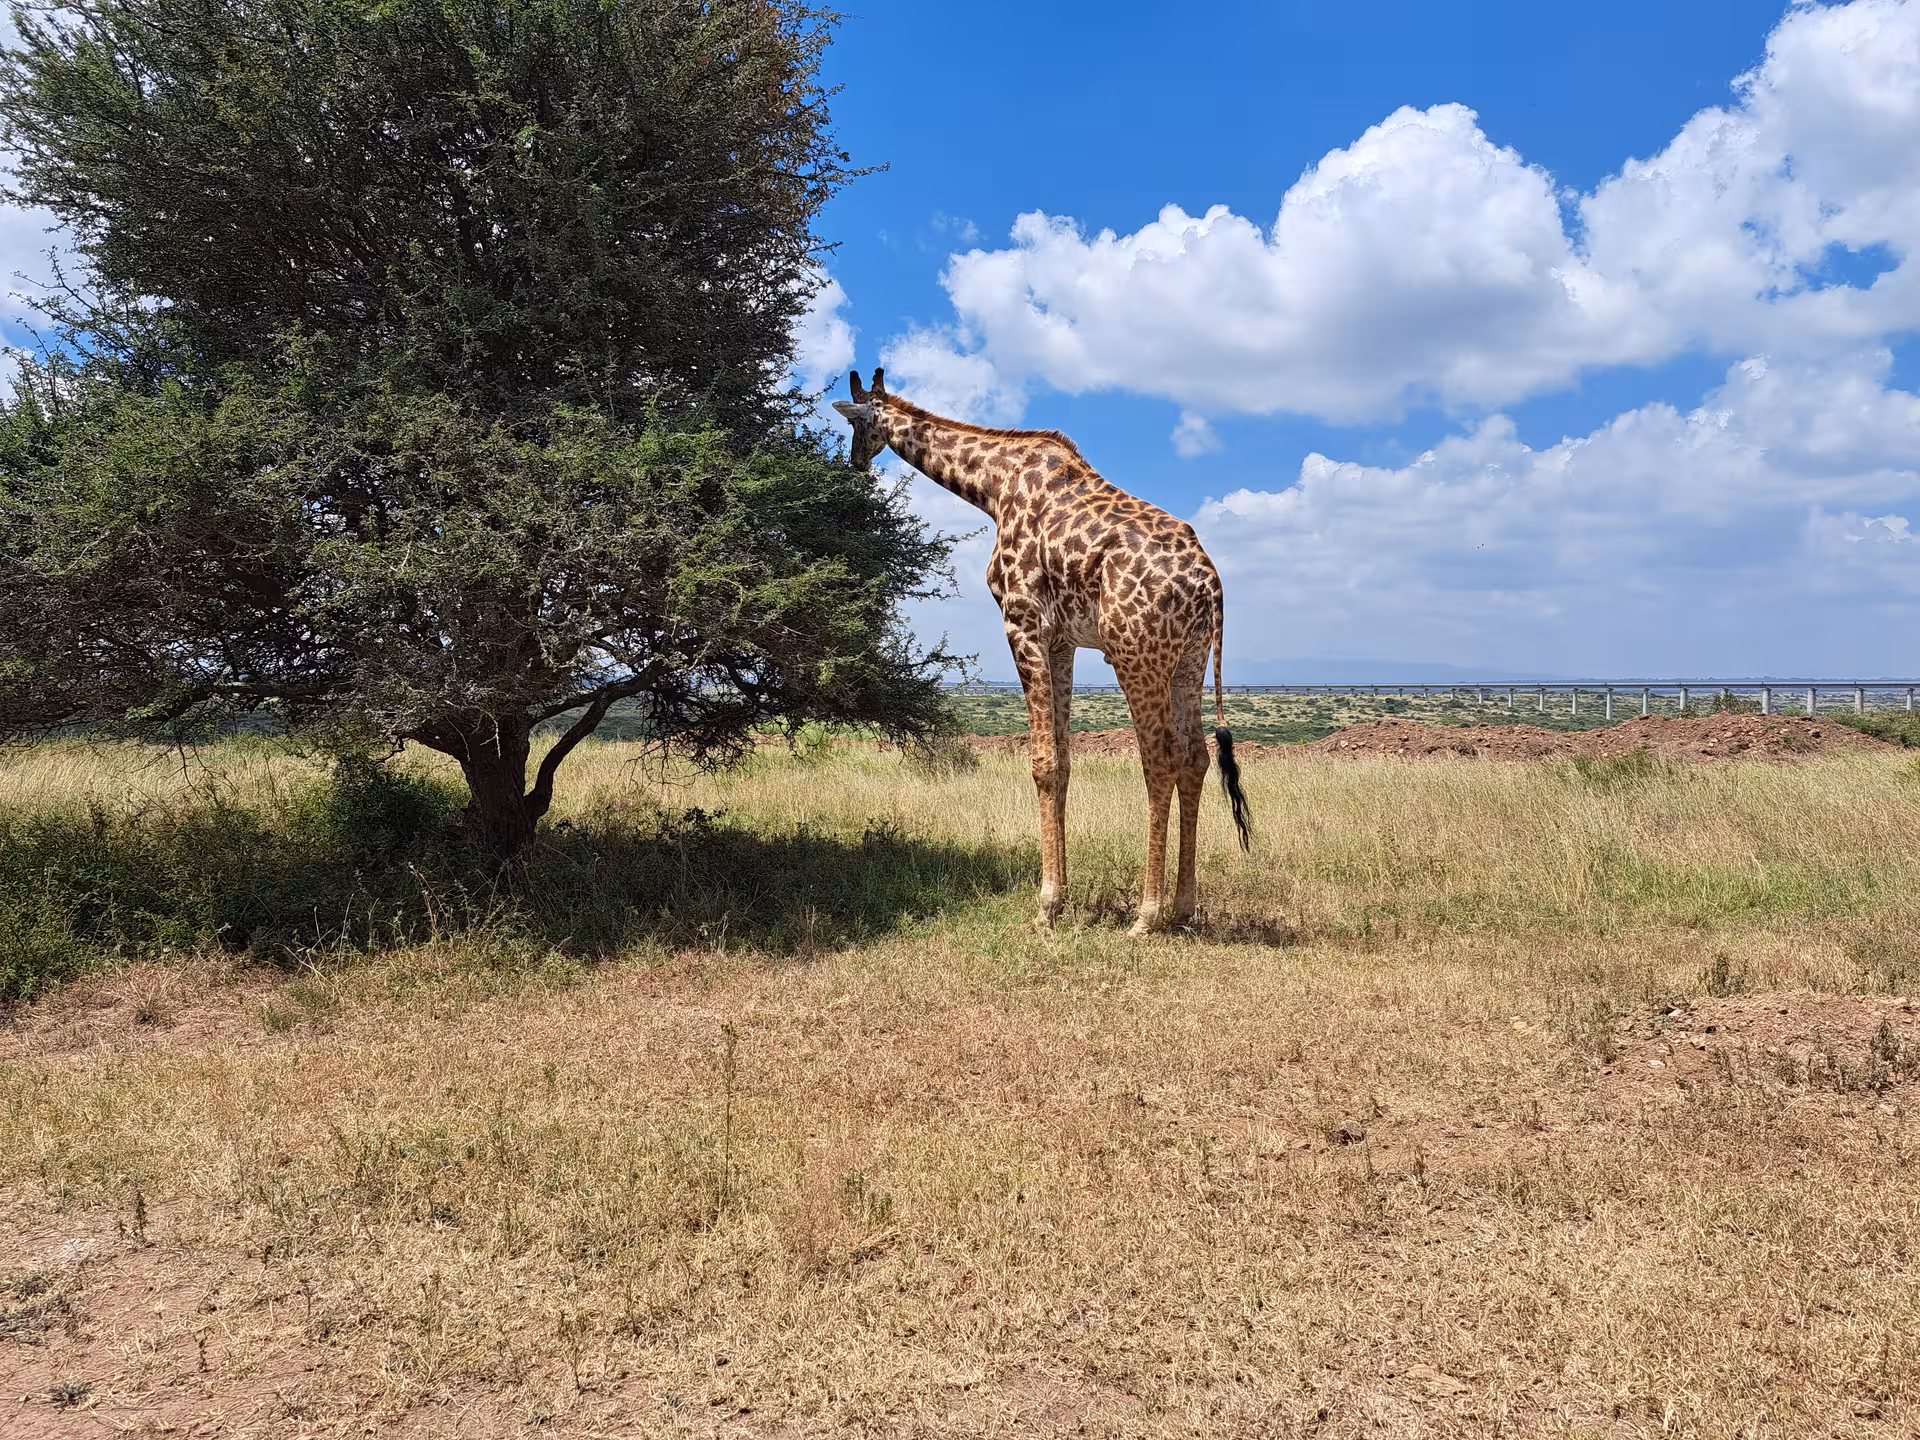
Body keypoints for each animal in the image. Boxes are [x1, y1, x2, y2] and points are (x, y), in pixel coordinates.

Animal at [834, 369, 1251, 934]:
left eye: (857, 425)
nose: (855, 462)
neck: (993, 488)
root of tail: (1211, 586)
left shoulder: (1022, 621)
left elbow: (1042, 762)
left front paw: (1046, 905)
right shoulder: (1062, 640)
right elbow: (1065, 758)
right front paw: (1064, 898)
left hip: (1136, 655)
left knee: (1160, 760)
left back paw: (1146, 916)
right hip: (1190, 660)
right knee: (1196, 758)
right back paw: (1183, 909)